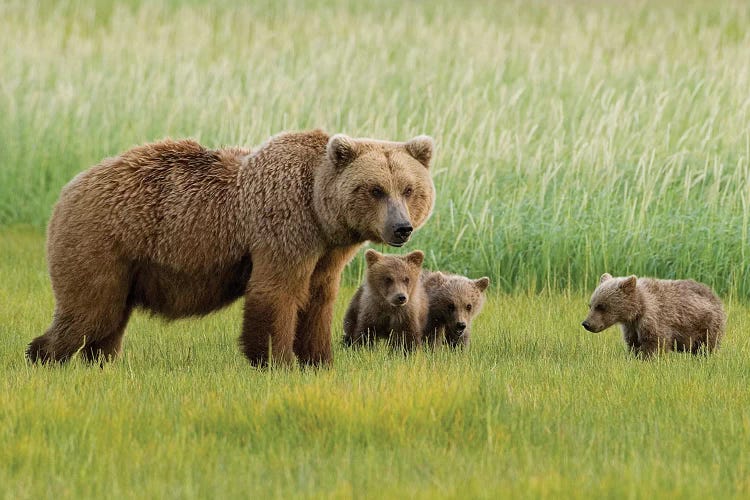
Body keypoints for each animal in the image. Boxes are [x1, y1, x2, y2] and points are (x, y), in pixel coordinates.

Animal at [27, 131, 434, 370]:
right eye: (375, 189)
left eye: (409, 189)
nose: (402, 228)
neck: (318, 209)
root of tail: (69, 187)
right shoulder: (284, 228)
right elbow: (277, 293)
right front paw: (276, 361)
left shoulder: (326, 253)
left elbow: (318, 300)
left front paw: (318, 360)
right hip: (102, 241)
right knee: (89, 310)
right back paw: (43, 357)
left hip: (126, 265)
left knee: (109, 318)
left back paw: (100, 361)